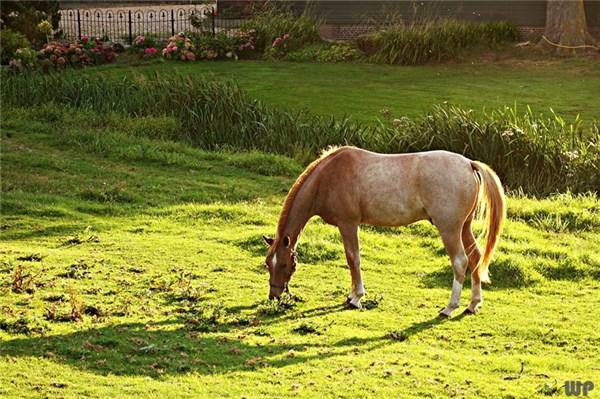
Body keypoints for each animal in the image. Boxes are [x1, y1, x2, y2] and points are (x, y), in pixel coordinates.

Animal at [262, 145, 506, 318]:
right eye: (267, 264)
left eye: (284, 264)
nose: (274, 296)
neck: (328, 177)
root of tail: (468, 164)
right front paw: (351, 294)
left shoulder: (348, 224)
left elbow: (353, 258)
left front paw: (356, 298)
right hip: (464, 227)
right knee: (475, 257)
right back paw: (473, 304)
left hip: (450, 229)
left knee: (460, 262)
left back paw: (449, 307)